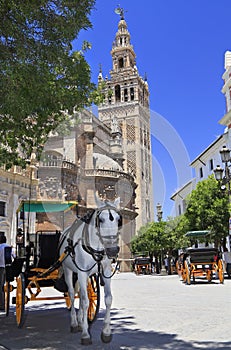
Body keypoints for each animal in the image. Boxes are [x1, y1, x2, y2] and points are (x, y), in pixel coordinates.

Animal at [59, 197, 121, 344]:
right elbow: (86, 301)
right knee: (72, 294)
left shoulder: (106, 271)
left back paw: (81, 321)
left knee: (81, 294)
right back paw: (75, 323)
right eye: (101, 220)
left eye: (118, 219)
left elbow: (108, 299)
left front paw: (106, 332)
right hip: (68, 270)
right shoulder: (81, 273)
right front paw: (86, 334)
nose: (113, 250)